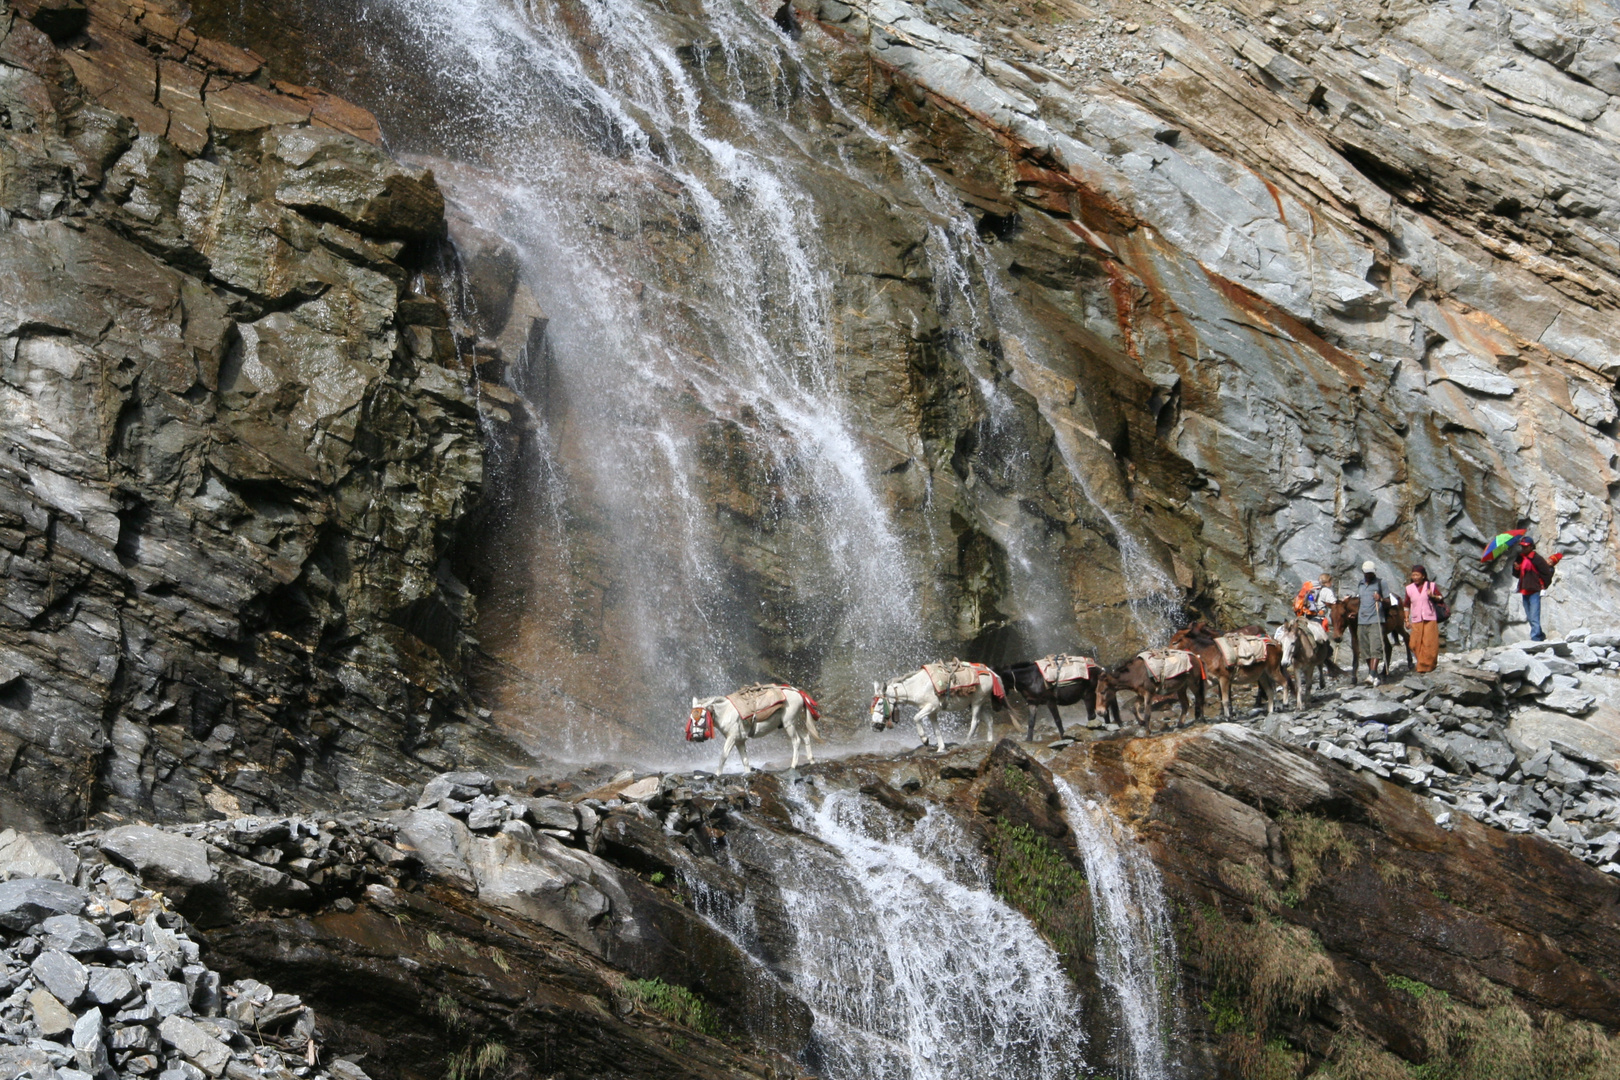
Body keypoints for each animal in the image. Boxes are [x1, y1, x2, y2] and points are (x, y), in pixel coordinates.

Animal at [686, 689, 816, 773]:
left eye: (702, 716)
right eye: (691, 718)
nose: (696, 736)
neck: (726, 712)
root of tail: (798, 693)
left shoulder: (732, 738)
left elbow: (723, 756)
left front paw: (717, 774)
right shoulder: (739, 741)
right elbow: (745, 759)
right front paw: (748, 773)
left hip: (789, 723)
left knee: (796, 741)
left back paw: (793, 765)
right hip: (795, 722)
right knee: (806, 737)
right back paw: (811, 761)